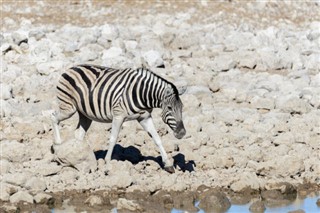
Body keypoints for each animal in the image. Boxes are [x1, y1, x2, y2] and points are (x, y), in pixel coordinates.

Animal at [50, 64, 188, 173]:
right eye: (169, 108)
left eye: (182, 107)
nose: (182, 133)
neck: (142, 94)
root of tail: (71, 68)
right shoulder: (118, 116)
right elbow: (113, 139)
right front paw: (107, 163)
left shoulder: (145, 117)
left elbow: (157, 139)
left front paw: (168, 164)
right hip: (69, 108)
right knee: (53, 117)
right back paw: (57, 144)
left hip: (85, 115)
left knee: (78, 133)